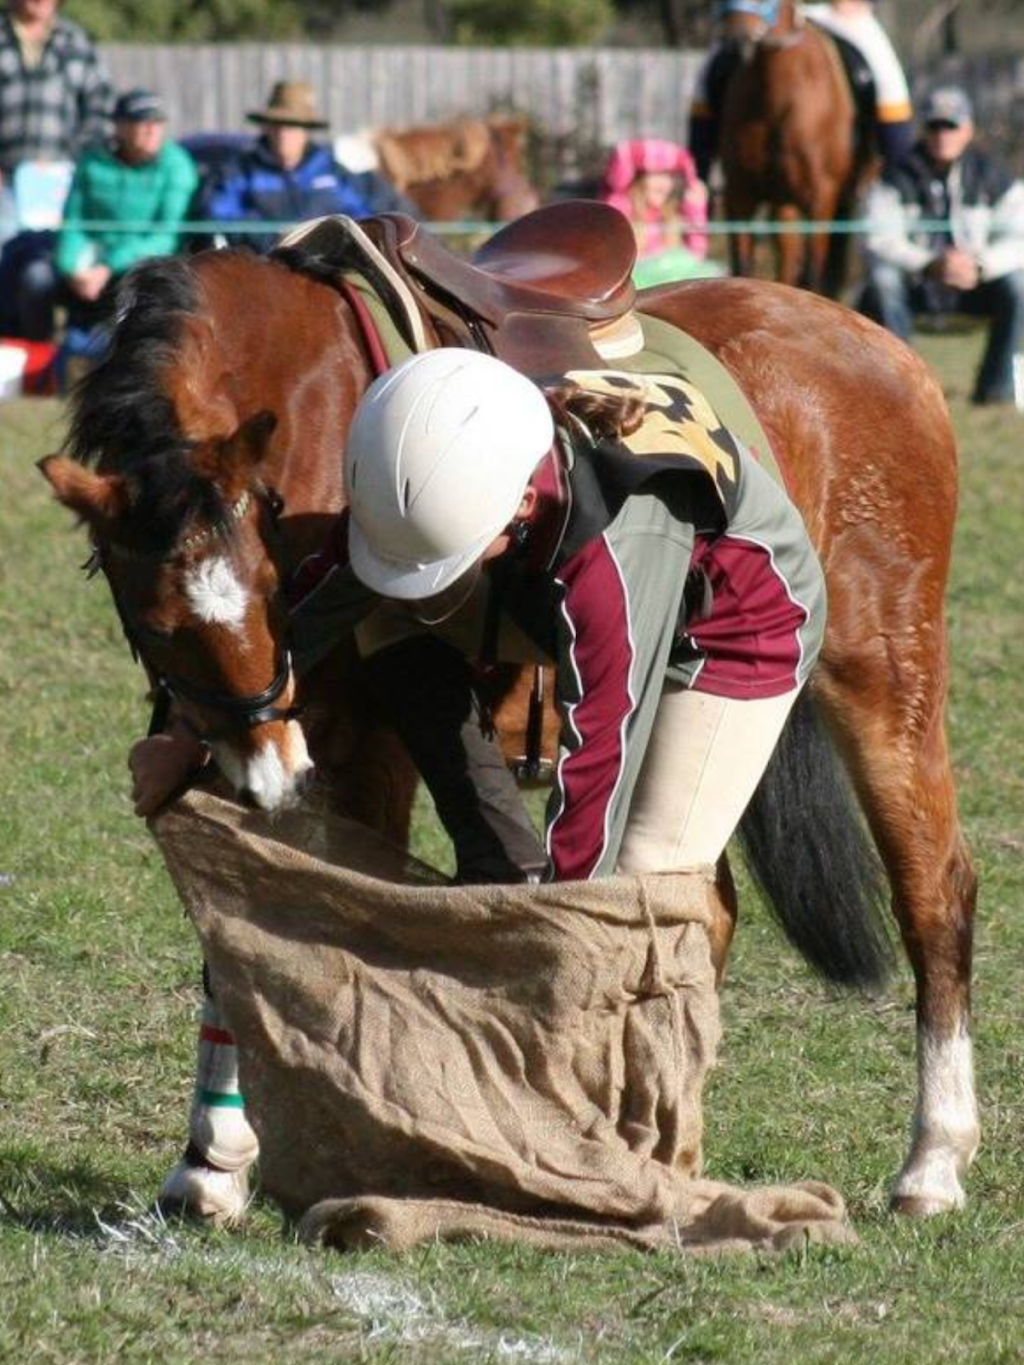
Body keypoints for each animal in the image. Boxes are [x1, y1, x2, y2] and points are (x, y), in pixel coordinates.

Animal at [40, 240, 983, 1223]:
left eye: (268, 585)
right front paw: (210, 1162)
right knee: (694, 903)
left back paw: (932, 1159)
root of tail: (881, 347)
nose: (268, 762)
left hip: (882, 677)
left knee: (933, 891)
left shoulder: (362, 749)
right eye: (153, 623)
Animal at [715, 0, 868, 296]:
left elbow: (814, 270)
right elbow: (742, 265)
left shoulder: (820, 197)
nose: (735, 43)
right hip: (782, 204)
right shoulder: (739, 194)